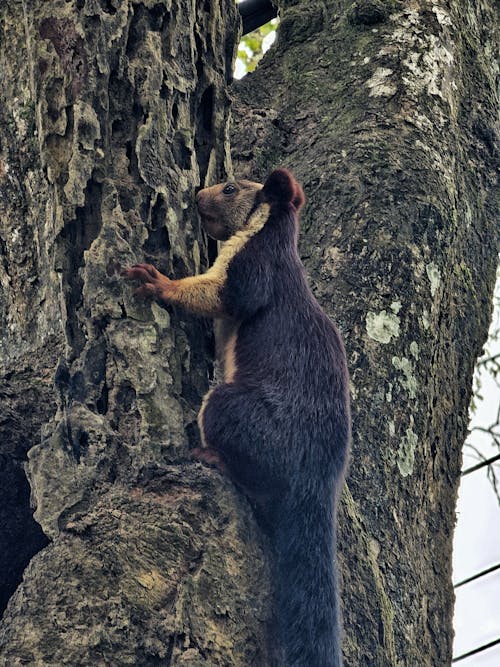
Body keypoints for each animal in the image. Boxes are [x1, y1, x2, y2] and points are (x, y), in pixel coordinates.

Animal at [122, 171, 350, 667]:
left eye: (230, 188)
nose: (197, 194)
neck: (269, 232)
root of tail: (318, 480)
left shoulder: (254, 269)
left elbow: (220, 297)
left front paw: (159, 282)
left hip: (232, 408)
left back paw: (215, 458)